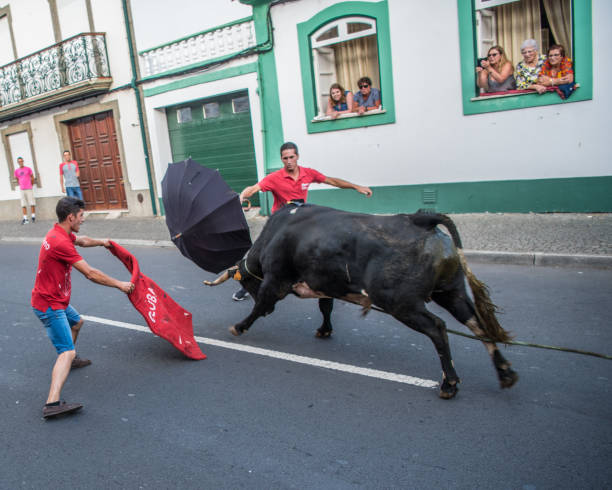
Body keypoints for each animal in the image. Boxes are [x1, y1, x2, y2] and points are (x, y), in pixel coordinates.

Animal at [206, 203, 516, 398]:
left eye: (245, 282)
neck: (276, 234)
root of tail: (419, 219)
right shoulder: (325, 284)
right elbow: (325, 307)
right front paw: (324, 330)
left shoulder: (275, 280)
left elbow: (260, 306)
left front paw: (239, 326)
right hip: (451, 292)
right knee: (477, 324)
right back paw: (505, 373)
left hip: (401, 302)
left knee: (438, 328)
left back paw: (449, 383)